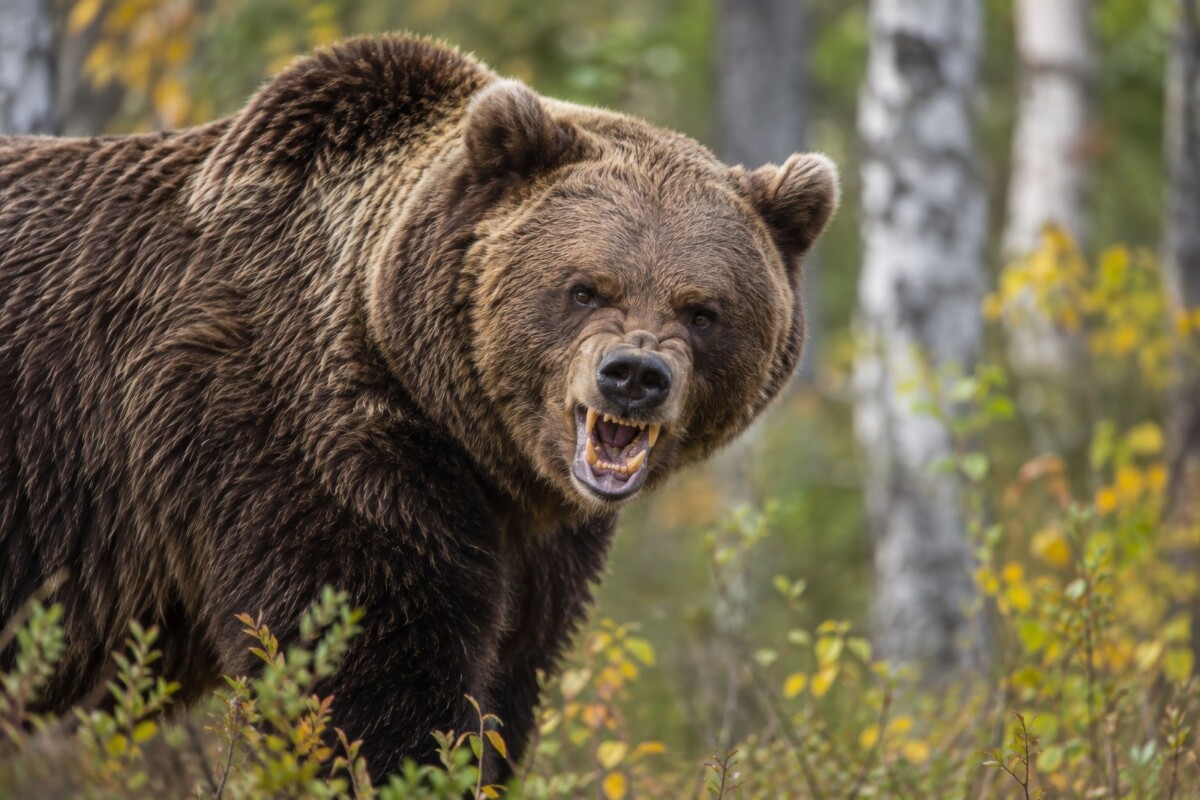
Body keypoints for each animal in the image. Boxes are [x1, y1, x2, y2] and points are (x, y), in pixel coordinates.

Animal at [0, 35, 838, 781]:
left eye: (703, 309)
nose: (633, 375)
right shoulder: (309, 440)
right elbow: (369, 680)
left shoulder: (542, 552)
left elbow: (508, 682)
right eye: (585, 287)